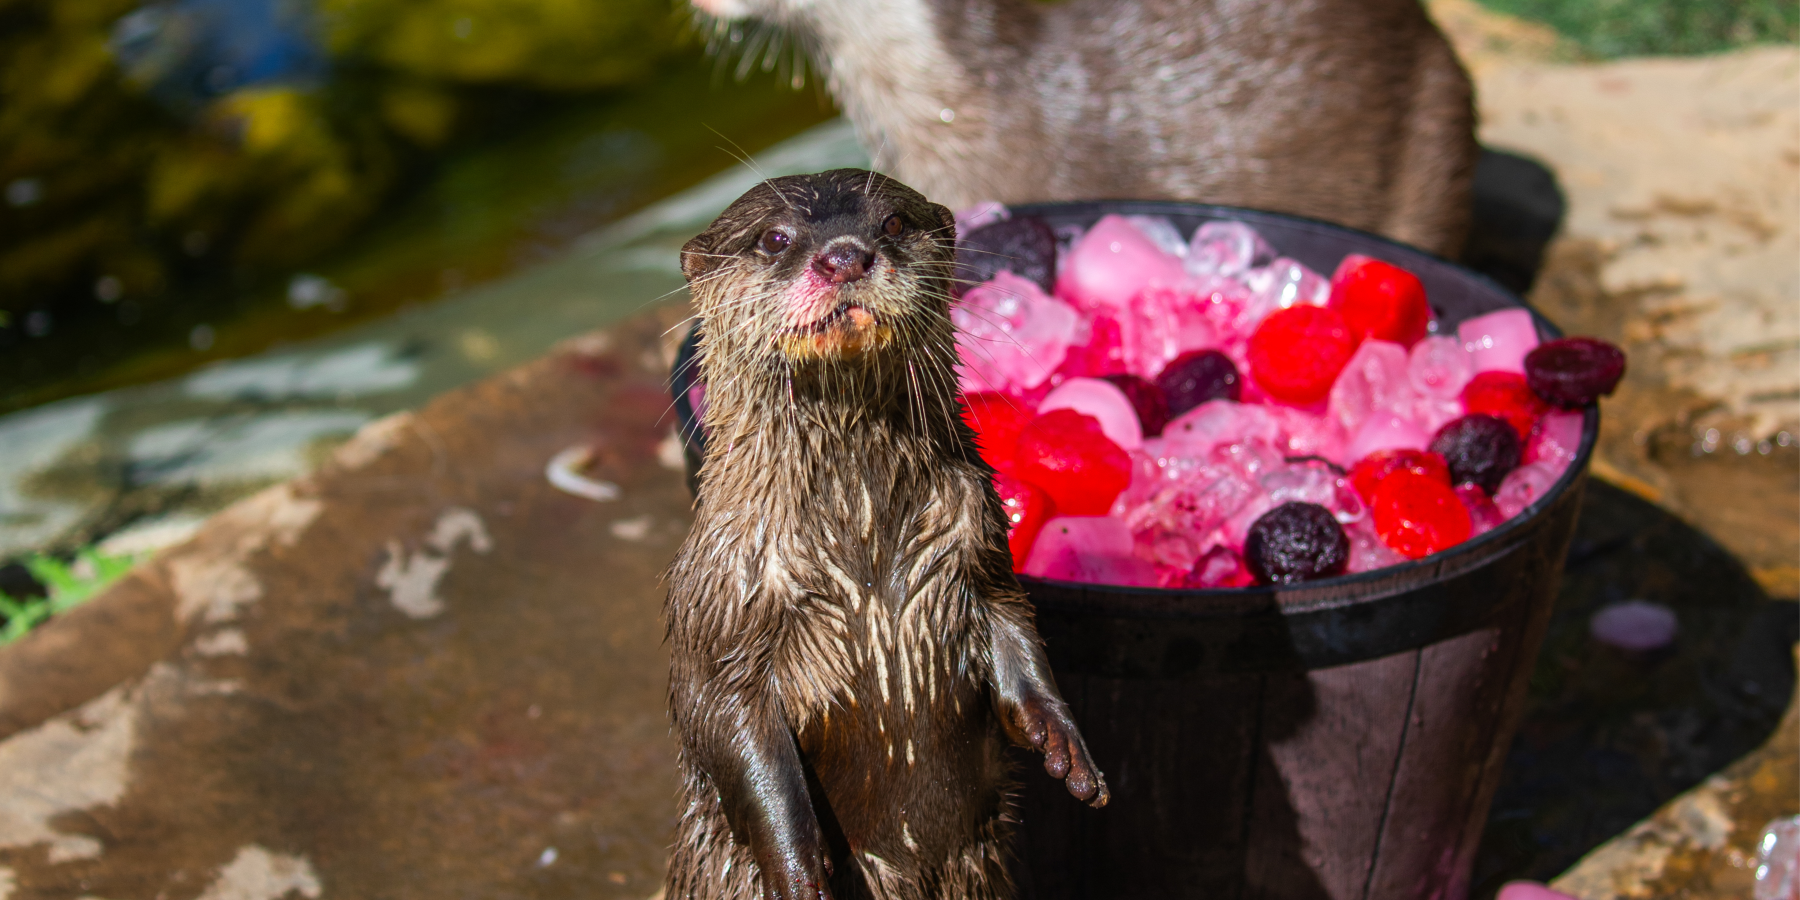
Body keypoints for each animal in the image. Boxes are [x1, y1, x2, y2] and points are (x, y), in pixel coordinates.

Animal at [669, 170, 1101, 900]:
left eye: (894, 221)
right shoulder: (724, 611)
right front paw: (801, 872)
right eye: (774, 238)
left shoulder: (979, 546)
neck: (863, 539)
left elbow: (1016, 630)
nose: (844, 255)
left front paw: (1062, 742)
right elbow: (730, 732)